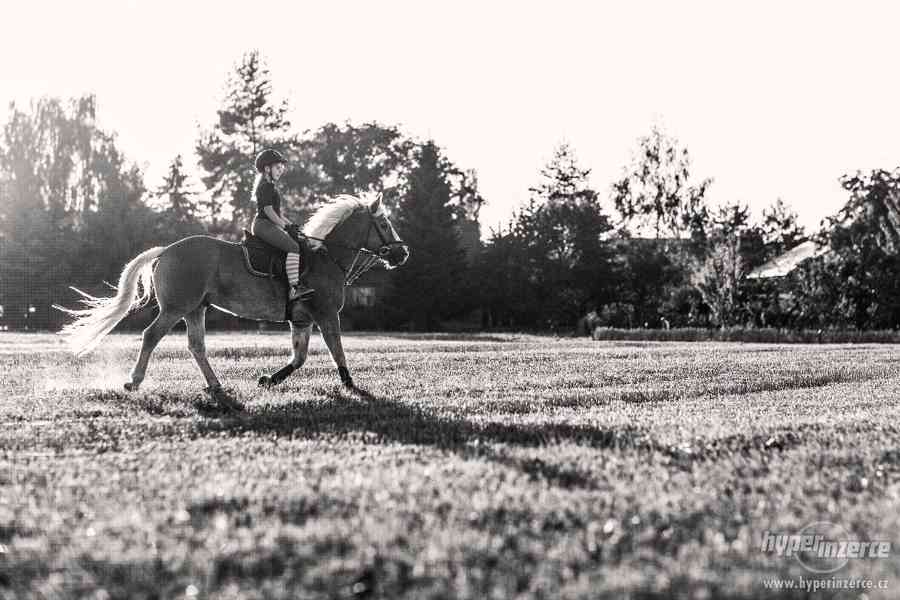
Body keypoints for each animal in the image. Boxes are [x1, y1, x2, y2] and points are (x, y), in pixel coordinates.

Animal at [55, 195, 408, 410]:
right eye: (384, 224)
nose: (402, 253)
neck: (328, 258)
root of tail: (167, 250)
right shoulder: (326, 315)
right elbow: (337, 351)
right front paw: (351, 386)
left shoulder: (302, 319)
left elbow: (299, 357)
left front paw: (268, 380)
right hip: (176, 308)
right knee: (151, 336)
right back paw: (134, 381)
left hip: (196, 309)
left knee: (196, 345)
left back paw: (215, 386)